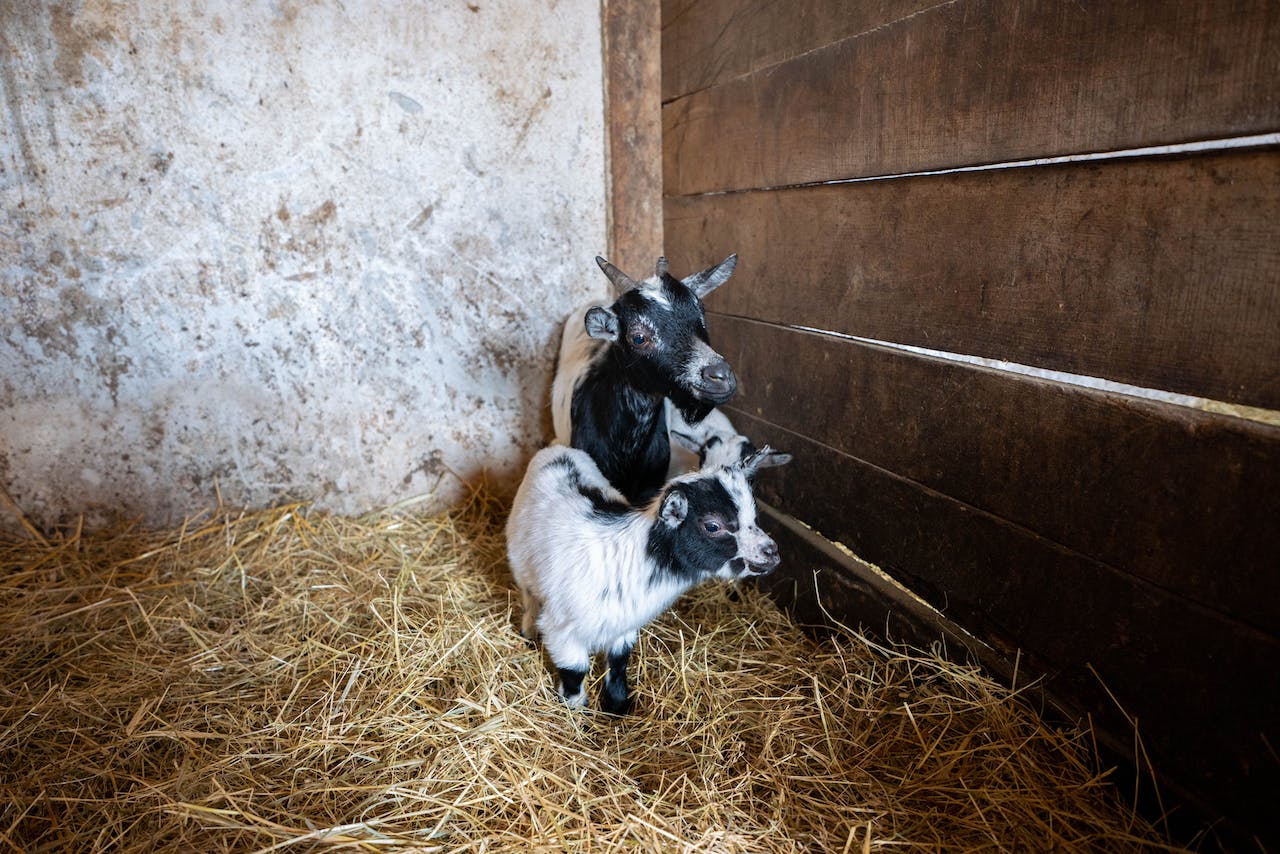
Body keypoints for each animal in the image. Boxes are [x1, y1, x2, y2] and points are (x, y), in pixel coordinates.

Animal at [506, 443, 781, 715]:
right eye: (713, 526)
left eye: (753, 514)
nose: (772, 552)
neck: (640, 557)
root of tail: (558, 449)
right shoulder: (562, 629)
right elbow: (574, 670)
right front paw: (576, 710)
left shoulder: (624, 623)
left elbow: (619, 662)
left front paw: (617, 705)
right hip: (520, 562)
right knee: (529, 597)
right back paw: (528, 631)